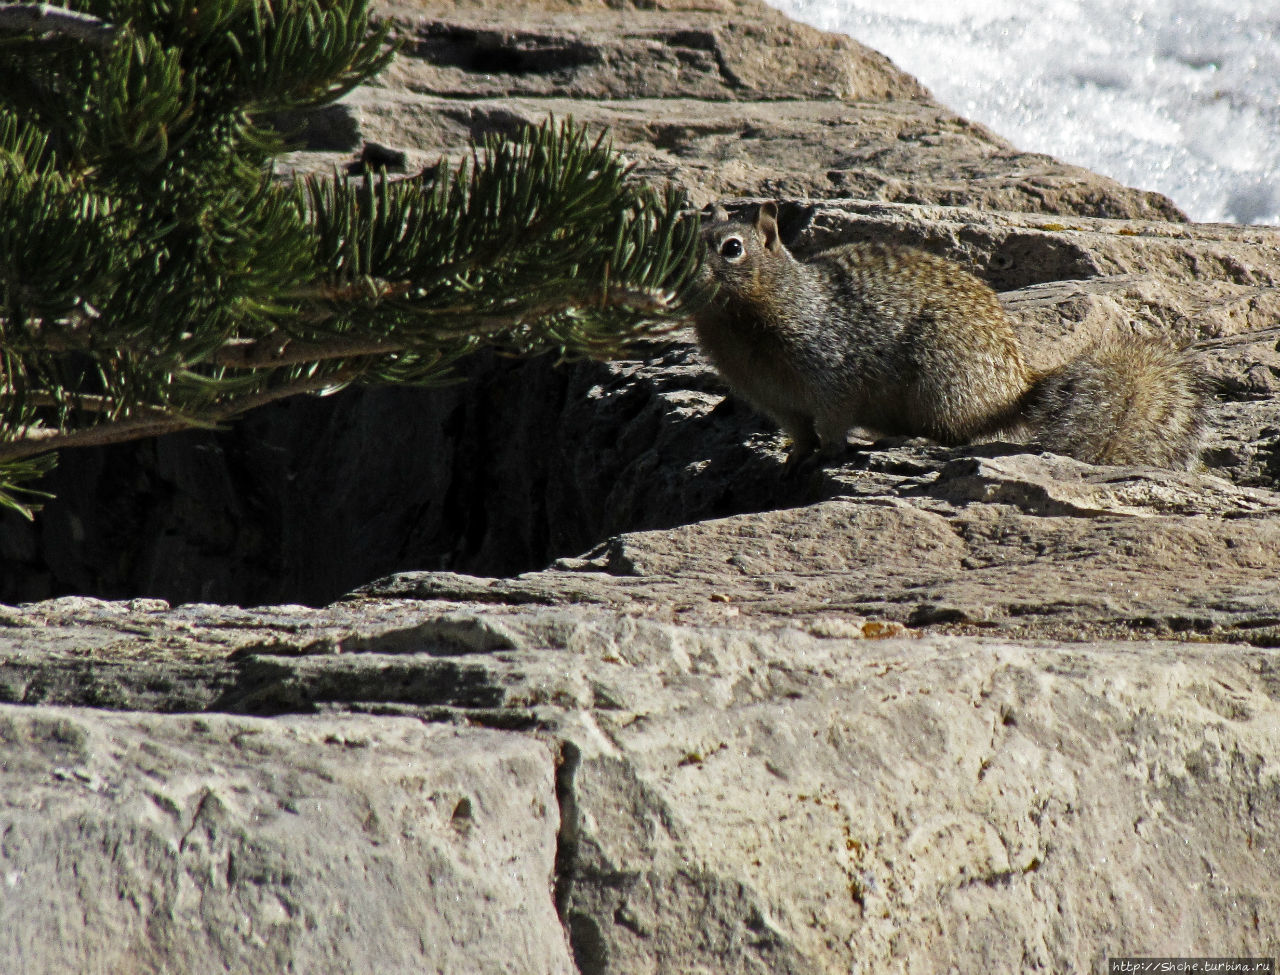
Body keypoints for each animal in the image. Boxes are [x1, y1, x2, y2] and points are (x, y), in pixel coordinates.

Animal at [696, 200, 1203, 468]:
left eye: (732, 248)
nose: (685, 275)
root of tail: (1016, 387)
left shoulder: (832, 374)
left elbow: (834, 425)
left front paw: (826, 455)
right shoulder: (774, 399)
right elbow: (799, 432)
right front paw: (794, 459)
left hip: (939, 379)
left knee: (957, 435)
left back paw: (910, 442)